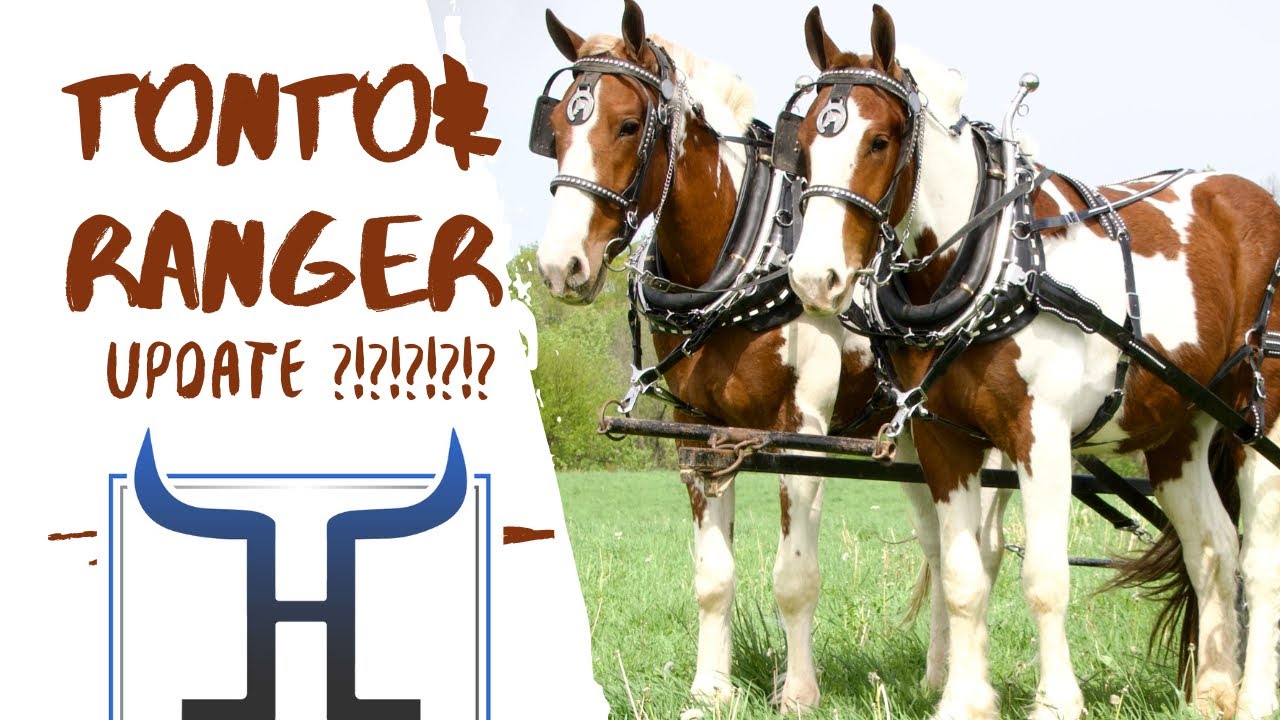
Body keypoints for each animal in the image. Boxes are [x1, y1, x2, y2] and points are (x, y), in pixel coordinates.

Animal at [530, 1, 1010, 710]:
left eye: (627, 124)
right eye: (559, 125)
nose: (561, 265)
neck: (740, 260)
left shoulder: (801, 428)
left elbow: (795, 576)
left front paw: (799, 692)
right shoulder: (697, 432)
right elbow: (712, 576)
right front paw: (710, 689)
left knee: (984, 548)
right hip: (913, 441)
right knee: (936, 544)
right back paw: (937, 674)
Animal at [782, 5, 1280, 719]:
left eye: (879, 141)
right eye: (803, 145)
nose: (813, 277)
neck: (994, 259)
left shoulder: (1039, 435)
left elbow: (1044, 576)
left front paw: (1056, 701)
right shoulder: (945, 439)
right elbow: (962, 576)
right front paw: (964, 701)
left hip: (1260, 417)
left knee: (1262, 561)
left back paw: (1256, 697)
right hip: (1179, 432)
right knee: (1213, 549)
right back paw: (1213, 690)